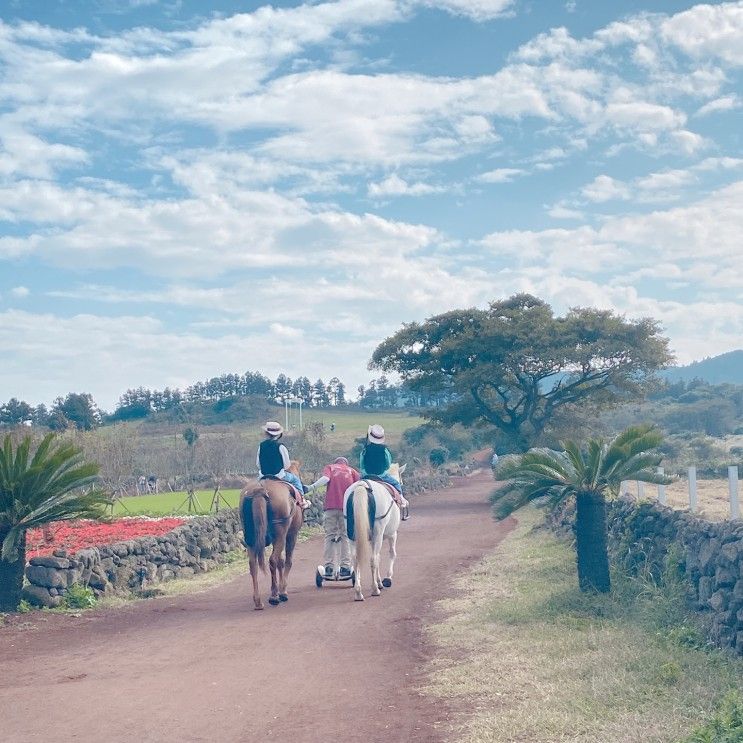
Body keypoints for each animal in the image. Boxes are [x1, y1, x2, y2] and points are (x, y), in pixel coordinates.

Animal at [241, 462, 306, 612]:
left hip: (252, 539)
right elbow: (287, 561)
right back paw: (275, 596)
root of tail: (259, 490)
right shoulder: (291, 535)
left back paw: (258, 601)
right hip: (281, 535)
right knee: (272, 560)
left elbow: (281, 561)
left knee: (253, 565)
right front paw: (283, 591)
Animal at [344, 462, 406, 600]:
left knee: (355, 559)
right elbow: (391, 554)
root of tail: (362, 486)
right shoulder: (391, 535)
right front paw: (386, 579)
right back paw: (375, 589)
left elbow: (379, 557)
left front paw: (379, 581)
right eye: (401, 481)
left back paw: (358, 592)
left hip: (351, 535)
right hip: (378, 533)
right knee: (372, 559)